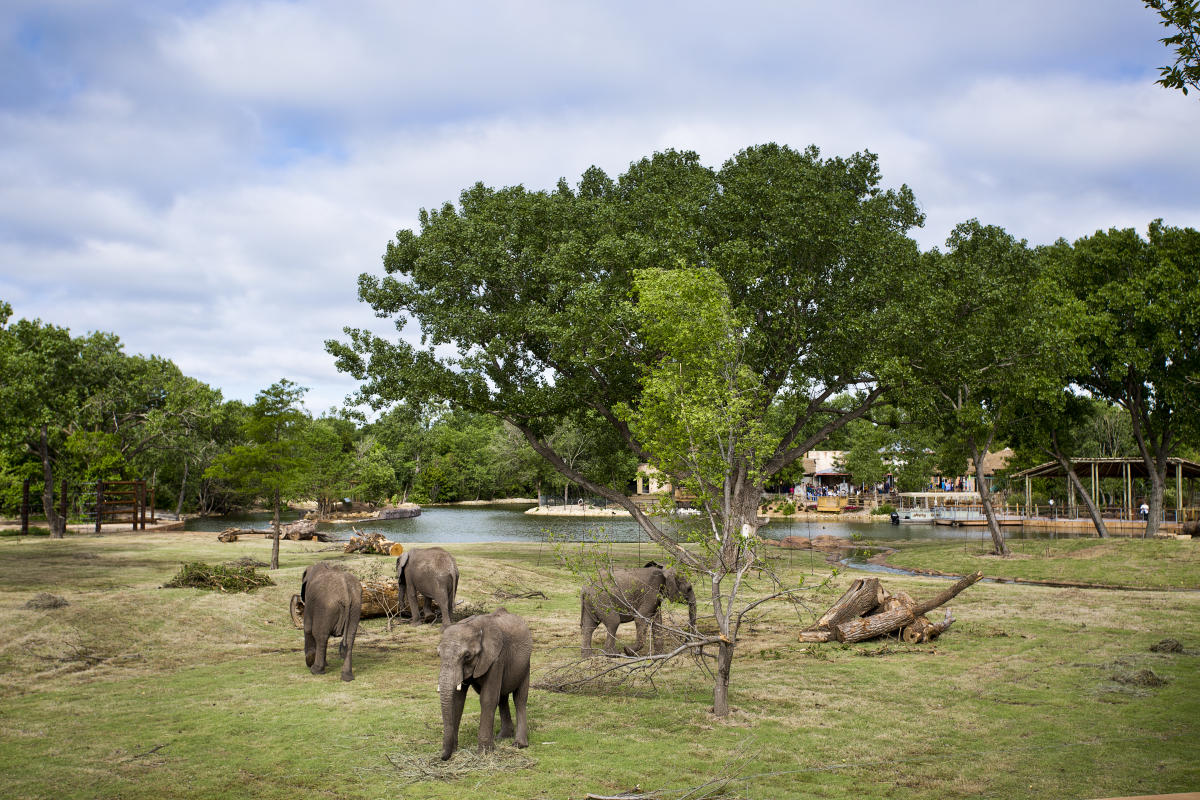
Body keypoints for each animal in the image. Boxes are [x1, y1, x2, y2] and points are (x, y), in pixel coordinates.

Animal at [437, 607, 532, 761]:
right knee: (502, 697)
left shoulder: (496, 658)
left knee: (519, 699)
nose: (443, 757)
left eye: (467, 656)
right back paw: (503, 736)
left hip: (525, 665)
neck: (474, 626)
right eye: (438, 655)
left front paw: (485, 753)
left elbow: (488, 699)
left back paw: (519, 744)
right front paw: (454, 751)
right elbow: (457, 700)